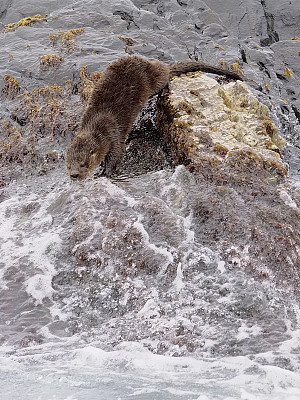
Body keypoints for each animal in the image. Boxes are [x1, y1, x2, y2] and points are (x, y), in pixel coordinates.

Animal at [65, 54, 244, 180]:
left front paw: (105, 173)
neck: (96, 123)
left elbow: (116, 154)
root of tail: (151, 64)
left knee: (164, 77)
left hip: (153, 79)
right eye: (68, 166)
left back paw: (164, 90)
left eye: (83, 164)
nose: (74, 175)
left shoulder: (113, 133)